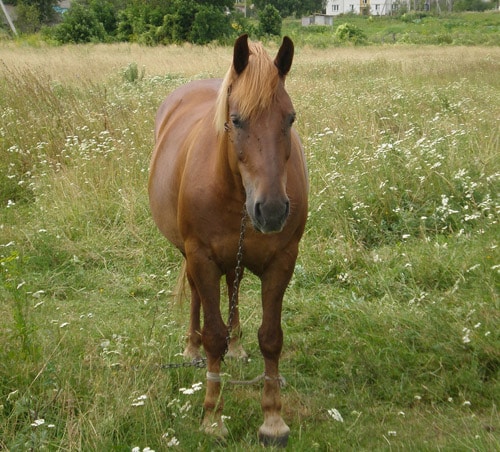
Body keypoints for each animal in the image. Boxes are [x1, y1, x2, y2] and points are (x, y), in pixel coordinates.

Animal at [147, 34, 308, 444]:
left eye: (290, 118)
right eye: (236, 120)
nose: (272, 210)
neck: (235, 190)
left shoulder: (282, 260)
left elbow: (271, 337)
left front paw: (273, 419)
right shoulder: (201, 257)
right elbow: (213, 335)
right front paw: (212, 417)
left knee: (233, 287)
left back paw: (236, 346)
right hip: (190, 257)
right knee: (196, 301)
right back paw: (191, 348)